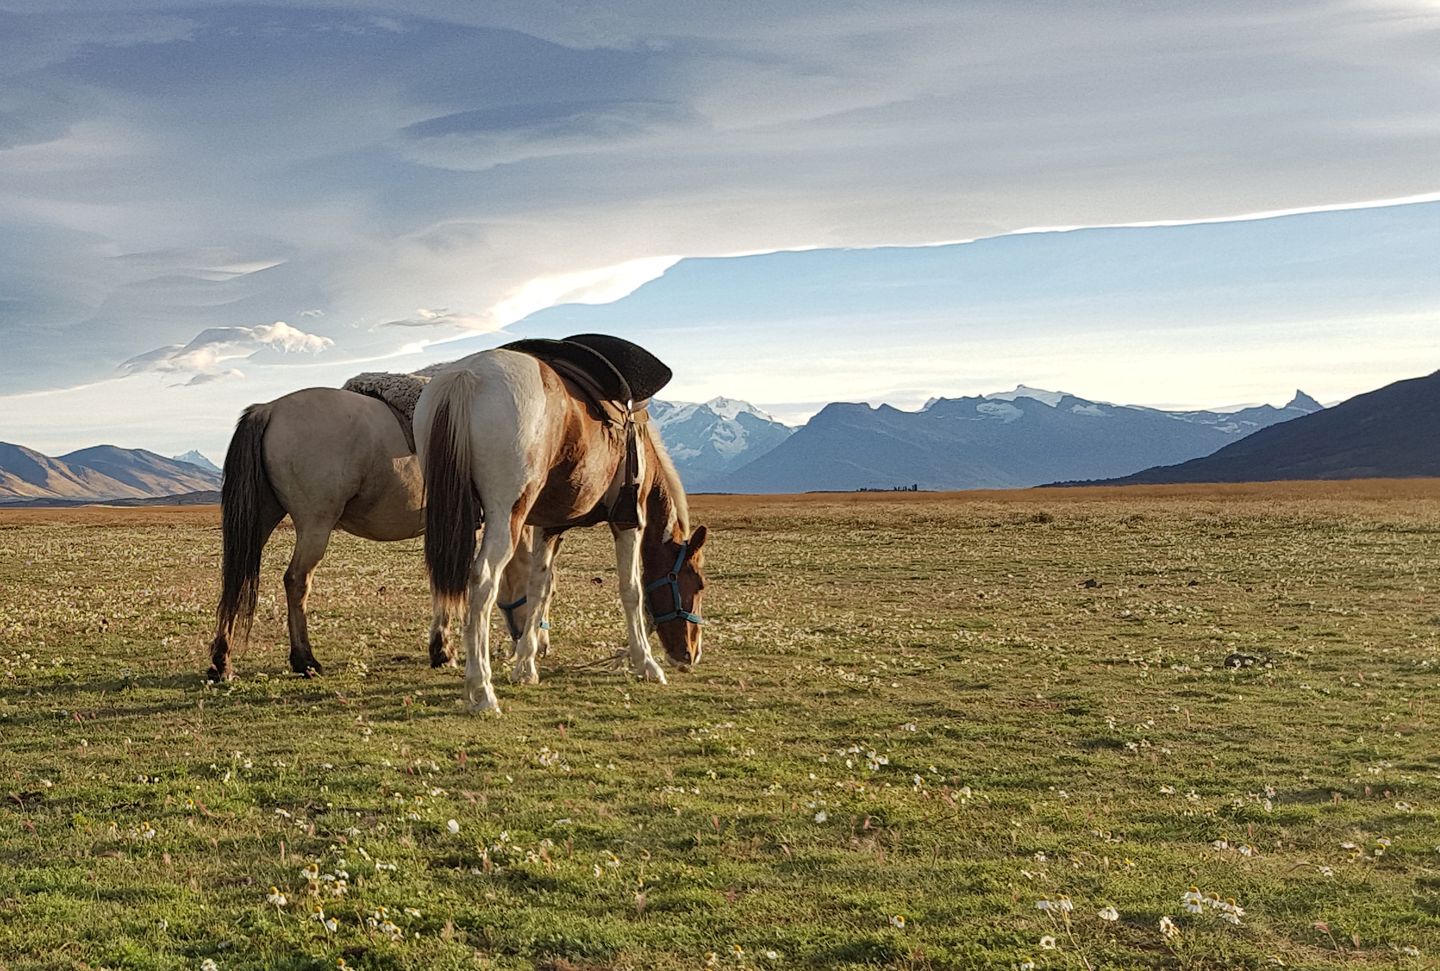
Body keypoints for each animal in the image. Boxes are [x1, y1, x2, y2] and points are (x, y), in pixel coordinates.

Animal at [207, 383, 548, 682]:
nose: (541, 645)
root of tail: (269, 409)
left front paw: (439, 650)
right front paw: (444, 651)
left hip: (260, 519)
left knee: (235, 580)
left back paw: (222, 663)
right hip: (315, 525)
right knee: (296, 581)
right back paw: (305, 660)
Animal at [415, 346, 708, 714]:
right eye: (697, 584)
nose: (691, 655)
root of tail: (467, 375)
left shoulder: (548, 526)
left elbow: (539, 588)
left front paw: (526, 666)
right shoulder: (628, 521)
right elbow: (632, 590)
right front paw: (647, 663)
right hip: (506, 516)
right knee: (482, 582)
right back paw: (482, 689)